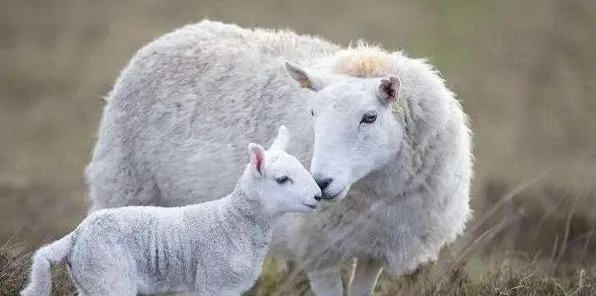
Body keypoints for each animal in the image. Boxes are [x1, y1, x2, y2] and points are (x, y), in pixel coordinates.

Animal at [19, 126, 322, 294]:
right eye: (282, 179)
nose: (318, 195)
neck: (232, 222)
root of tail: (76, 236)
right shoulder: (214, 282)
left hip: (90, 283)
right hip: (109, 276)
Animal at [85, 19, 474, 296]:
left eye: (369, 117)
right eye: (313, 113)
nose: (321, 183)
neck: (374, 190)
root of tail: (177, 34)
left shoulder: (375, 247)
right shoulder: (319, 250)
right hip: (124, 186)